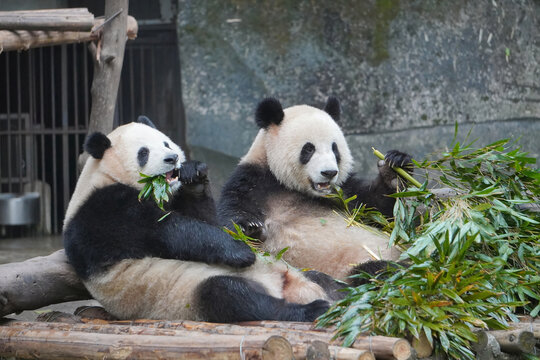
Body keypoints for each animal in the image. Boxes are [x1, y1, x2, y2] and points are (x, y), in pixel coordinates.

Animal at [64, 116, 342, 322]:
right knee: (233, 296)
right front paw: (241, 252)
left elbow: (209, 218)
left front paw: (194, 176)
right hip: (190, 293)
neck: (106, 175)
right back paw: (311, 309)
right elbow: (169, 230)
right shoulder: (103, 211)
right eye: (144, 153)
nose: (172, 159)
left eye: (166, 143)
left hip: (300, 271)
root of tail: (287, 286)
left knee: (325, 279)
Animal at [217, 97, 412, 282]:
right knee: (378, 271)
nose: (329, 172)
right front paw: (250, 228)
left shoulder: (344, 191)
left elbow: (377, 210)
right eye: (309, 148)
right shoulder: (251, 181)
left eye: (334, 148)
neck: (288, 186)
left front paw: (394, 170)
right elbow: (232, 215)